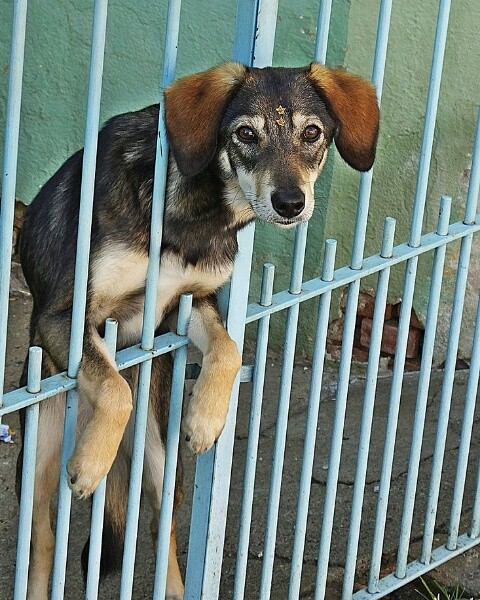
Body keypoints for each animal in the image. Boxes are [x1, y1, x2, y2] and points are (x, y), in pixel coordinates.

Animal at [17, 61, 378, 596]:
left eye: (312, 133)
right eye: (245, 134)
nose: (290, 202)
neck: (198, 215)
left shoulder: (188, 305)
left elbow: (228, 349)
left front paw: (207, 418)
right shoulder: (62, 315)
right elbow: (113, 388)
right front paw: (88, 465)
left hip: (161, 460)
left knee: (160, 525)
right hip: (39, 458)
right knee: (42, 542)